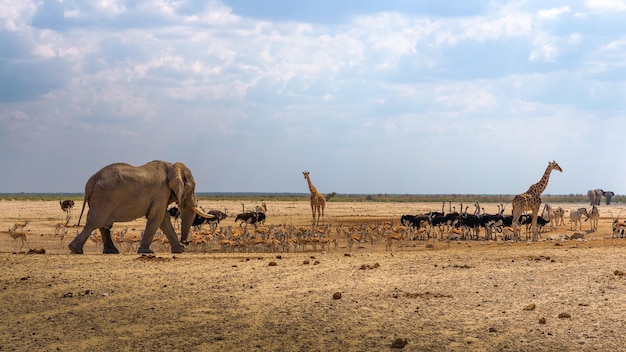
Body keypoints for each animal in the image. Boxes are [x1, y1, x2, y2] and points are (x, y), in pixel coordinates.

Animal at [67, 161, 211, 254]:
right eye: (192, 188)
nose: (185, 242)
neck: (172, 166)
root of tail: (90, 183)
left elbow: (163, 219)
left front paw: (180, 250)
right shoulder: (161, 191)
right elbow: (156, 217)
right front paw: (147, 251)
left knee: (103, 224)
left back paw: (111, 252)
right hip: (104, 197)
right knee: (96, 221)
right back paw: (75, 250)